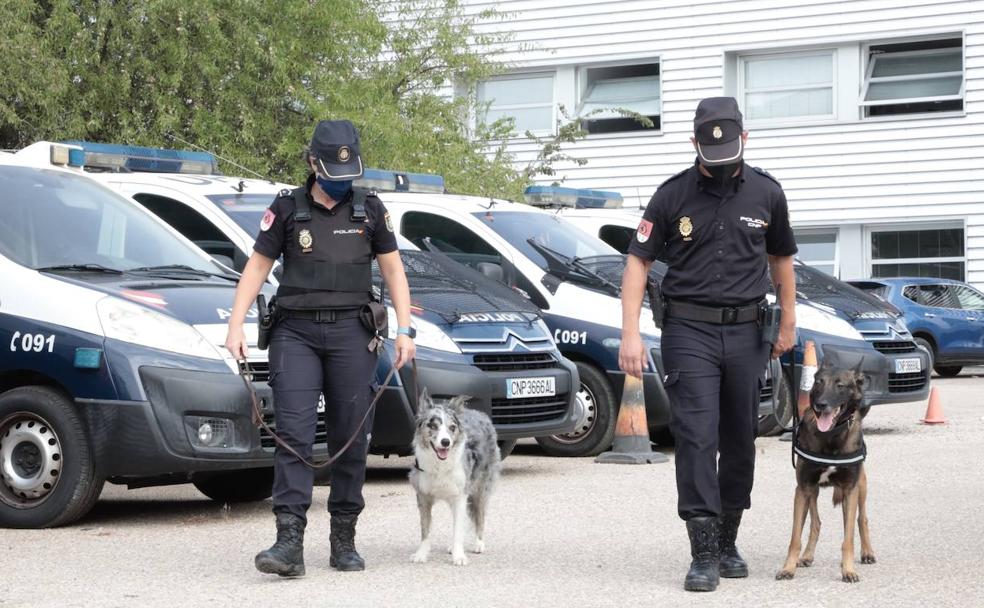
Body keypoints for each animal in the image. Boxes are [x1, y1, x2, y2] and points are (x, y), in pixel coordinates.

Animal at [776, 360, 876, 584]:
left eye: (840, 385)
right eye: (818, 383)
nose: (821, 404)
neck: (832, 435)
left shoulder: (850, 489)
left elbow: (848, 538)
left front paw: (848, 570)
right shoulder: (803, 488)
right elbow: (795, 537)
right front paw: (788, 568)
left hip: (861, 488)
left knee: (861, 519)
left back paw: (867, 552)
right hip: (812, 492)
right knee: (816, 523)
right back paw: (807, 556)